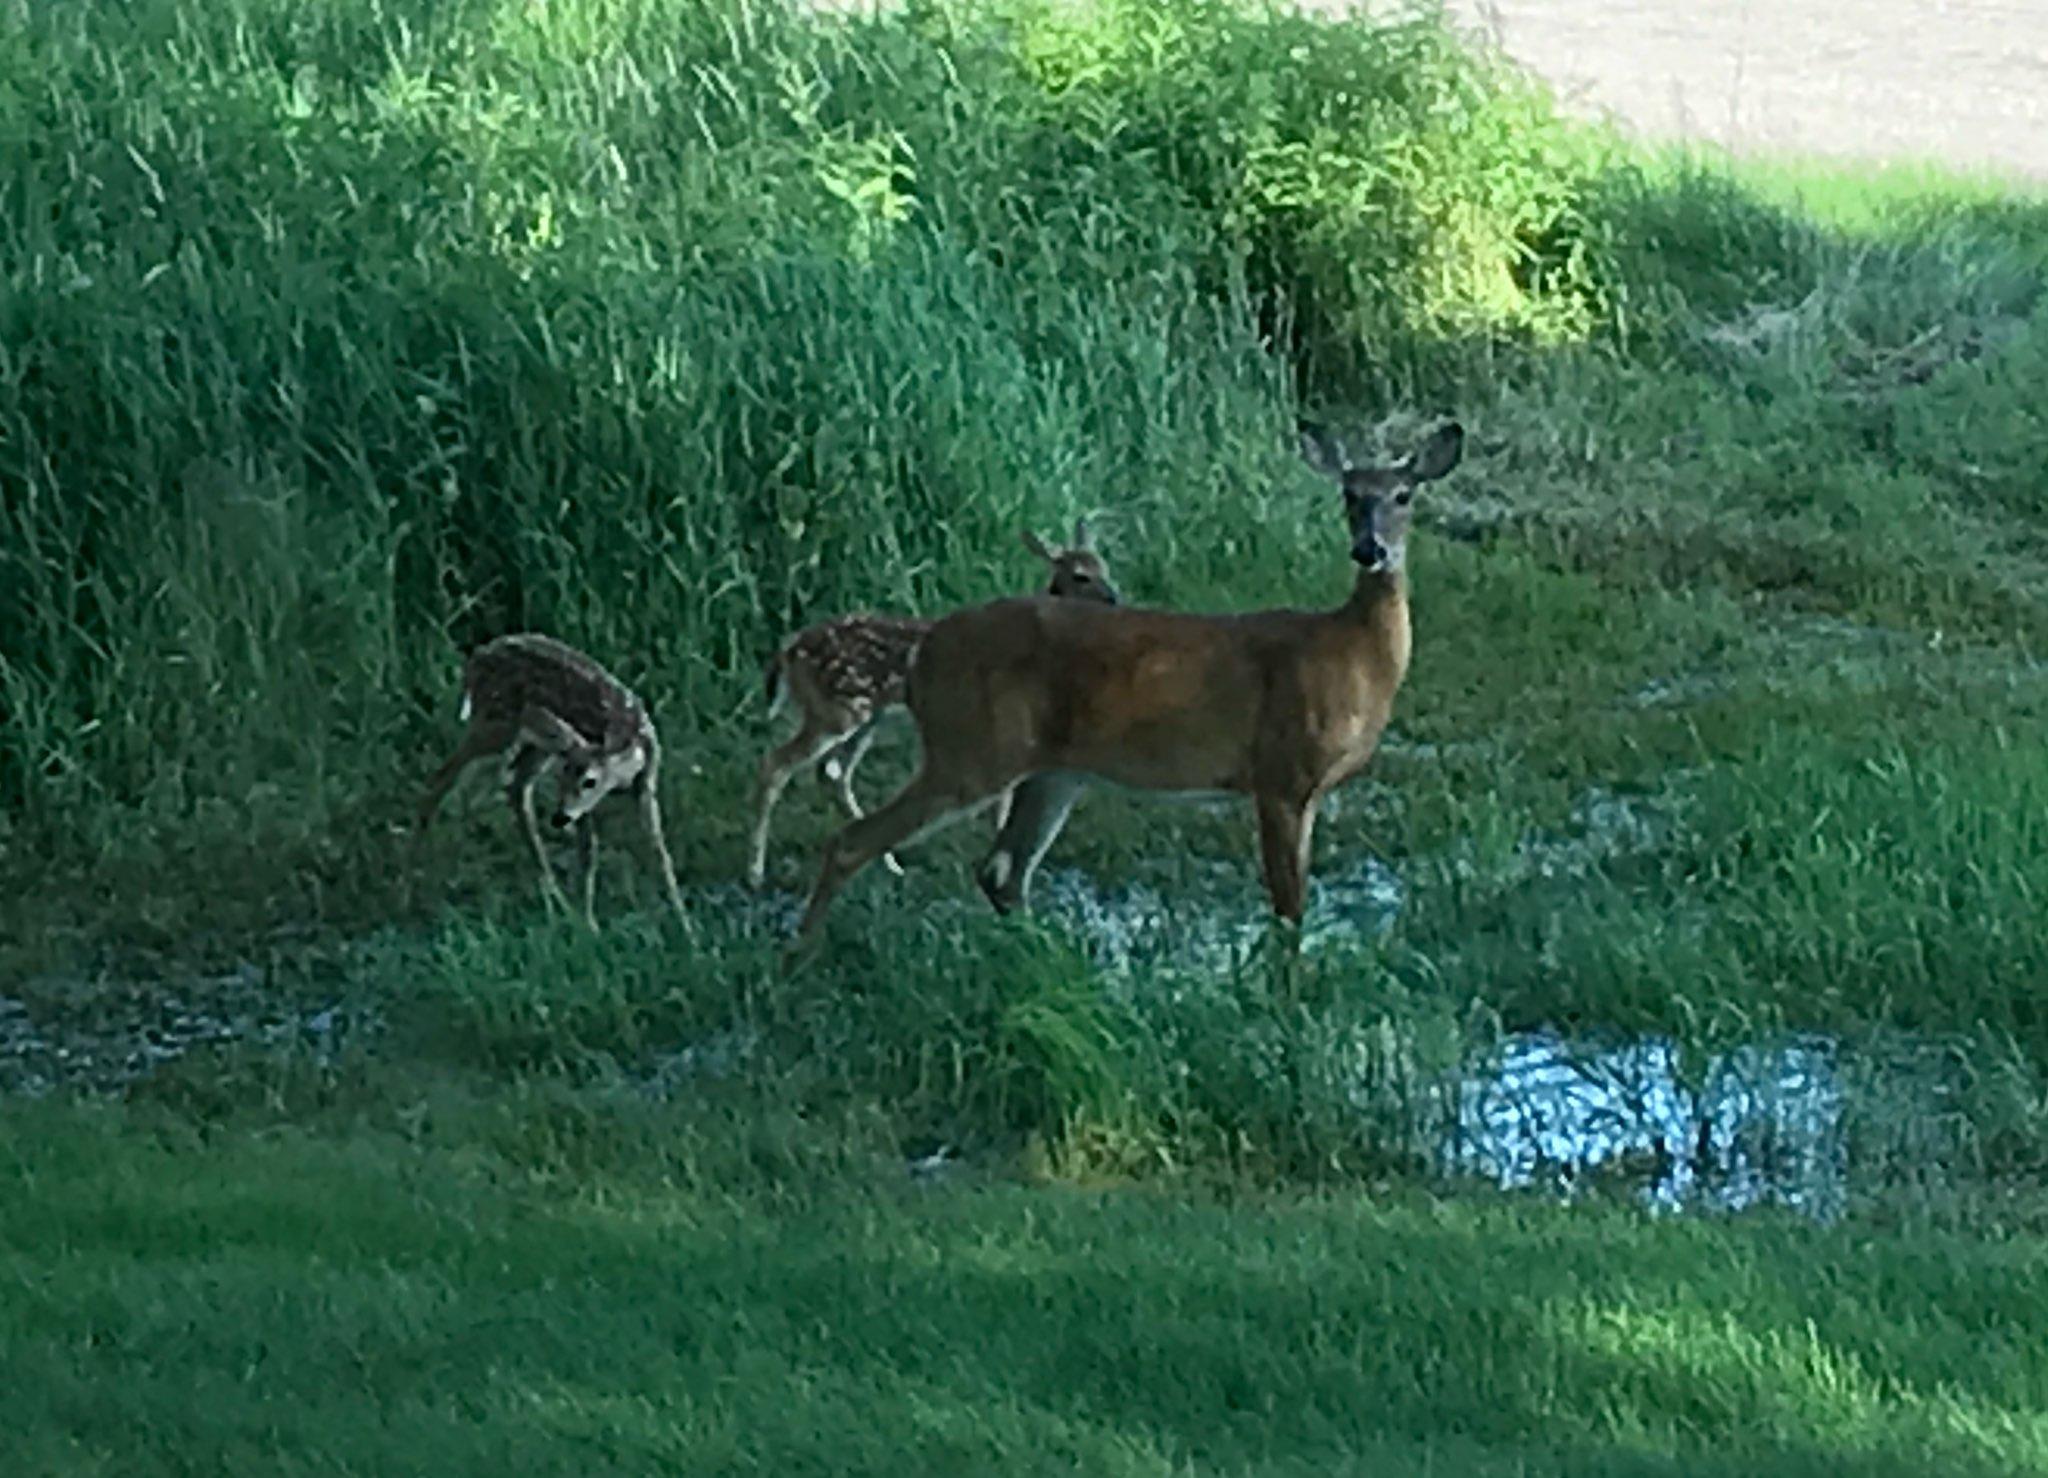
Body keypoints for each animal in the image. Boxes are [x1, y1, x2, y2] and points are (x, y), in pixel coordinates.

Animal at [416, 633, 687, 928]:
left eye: (590, 781)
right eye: (562, 775)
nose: (558, 818)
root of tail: (477, 658)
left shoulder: (645, 785)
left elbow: (660, 851)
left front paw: (685, 924)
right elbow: (589, 854)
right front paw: (589, 923)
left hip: (533, 746)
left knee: (516, 789)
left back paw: (554, 899)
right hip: (496, 724)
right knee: (442, 778)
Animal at [746, 522, 1120, 888]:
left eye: (1104, 566)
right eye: (1080, 575)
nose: (1114, 598)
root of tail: (789, 651)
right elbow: (1002, 805)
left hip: (865, 717)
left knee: (832, 773)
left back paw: (890, 864)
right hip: (835, 712)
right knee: (775, 765)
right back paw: (755, 871)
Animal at [790, 417, 1465, 950]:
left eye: (1403, 494)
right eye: (1349, 495)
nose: (1369, 550)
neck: (1352, 657)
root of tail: (924, 652)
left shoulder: (1303, 789)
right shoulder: (1280, 773)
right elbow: (1288, 911)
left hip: (1053, 769)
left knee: (1001, 870)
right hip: (972, 746)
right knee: (855, 842)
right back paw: (797, 963)